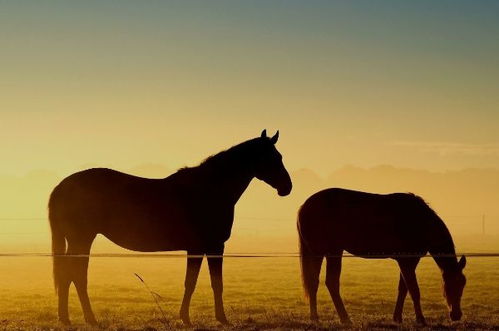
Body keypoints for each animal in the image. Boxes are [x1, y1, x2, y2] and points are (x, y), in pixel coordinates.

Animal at [48, 130, 292, 326]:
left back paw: (65, 317)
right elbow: (213, 283)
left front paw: (187, 317)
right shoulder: (212, 246)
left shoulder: (197, 248)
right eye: (274, 157)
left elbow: (192, 282)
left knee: (67, 274)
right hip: (82, 238)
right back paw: (88, 318)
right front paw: (218, 318)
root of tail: (61, 187)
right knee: (76, 274)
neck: (210, 189)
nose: (287, 187)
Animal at [298, 188, 466, 326]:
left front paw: (397, 318)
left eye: (463, 284)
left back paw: (315, 318)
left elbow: (403, 289)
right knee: (331, 282)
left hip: (318, 253)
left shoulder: (410, 262)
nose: (456, 315)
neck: (419, 222)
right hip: (332, 252)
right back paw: (344, 319)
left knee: (313, 282)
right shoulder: (406, 262)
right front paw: (420, 319)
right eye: (450, 285)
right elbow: (414, 290)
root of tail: (303, 207)